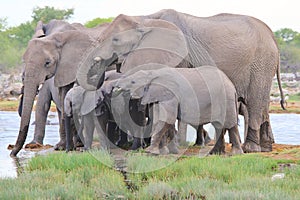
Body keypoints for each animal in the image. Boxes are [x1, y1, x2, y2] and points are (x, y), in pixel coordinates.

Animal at [10, 21, 111, 157]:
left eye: (47, 63)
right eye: (23, 61)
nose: (12, 154)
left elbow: (45, 104)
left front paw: (61, 147)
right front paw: (60, 147)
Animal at [112, 65, 244, 155]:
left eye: (133, 81)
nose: (114, 87)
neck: (153, 73)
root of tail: (232, 86)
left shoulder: (171, 95)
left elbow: (167, 119)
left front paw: (150, 152)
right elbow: (159, 120)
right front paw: (165, 152)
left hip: (226, 98)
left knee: (229, 124)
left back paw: (235, 153)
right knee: (219, 125)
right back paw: (215, 153)